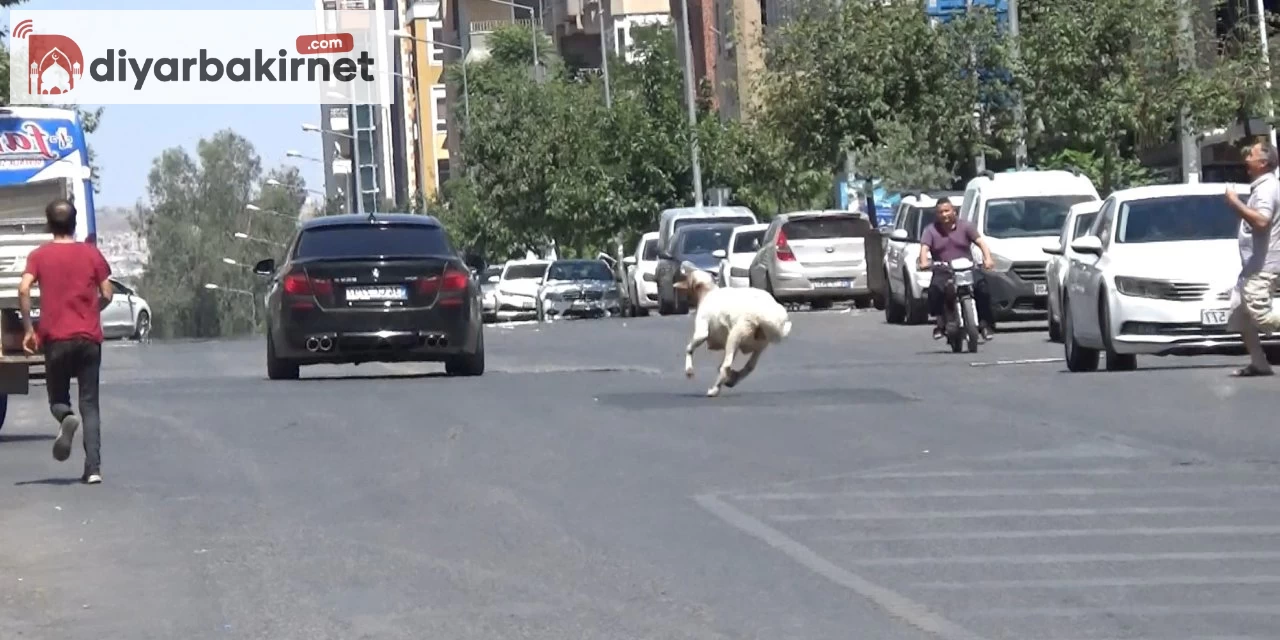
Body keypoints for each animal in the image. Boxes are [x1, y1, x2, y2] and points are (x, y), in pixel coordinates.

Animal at [675, 259, 793, 394]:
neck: (708, 291)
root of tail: (764, 315)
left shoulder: (702, 328)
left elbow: (690, 348)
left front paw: (689, 371)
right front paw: (730, 378)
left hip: (736, 334)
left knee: (726, 365)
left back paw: (715, 389)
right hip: (759, 344)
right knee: (748, 366)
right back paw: (732, 379)